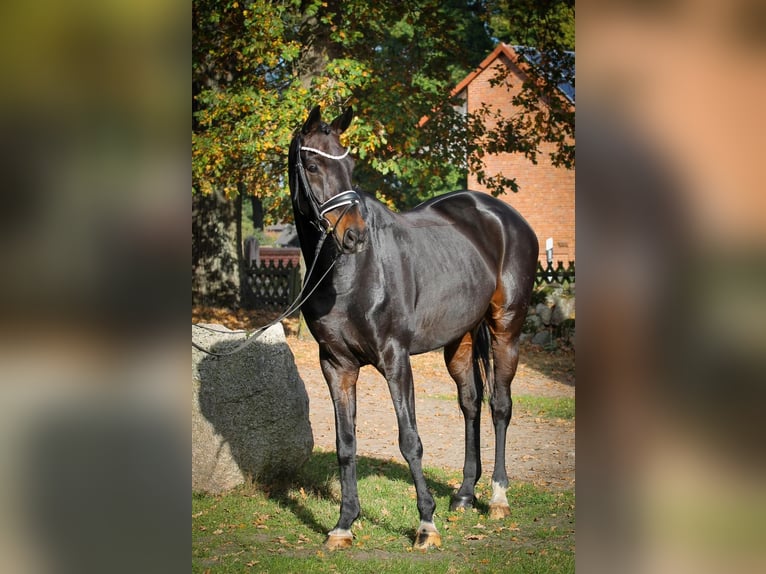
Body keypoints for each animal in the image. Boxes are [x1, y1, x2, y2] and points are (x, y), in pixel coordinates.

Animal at [290, 106, 540, 552]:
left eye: (350, 167)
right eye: (314, 165)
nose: (354, 235)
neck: (349, 273)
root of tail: (503, 216)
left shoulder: (395, 359)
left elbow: (410, 440)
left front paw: (426, 523)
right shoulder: (336, 365)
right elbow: (345, 444)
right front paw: (344, 524)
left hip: (506, 330)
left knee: (500, 406)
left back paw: (497, 497)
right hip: (459, 341)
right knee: (471, 404)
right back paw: (464, 494)